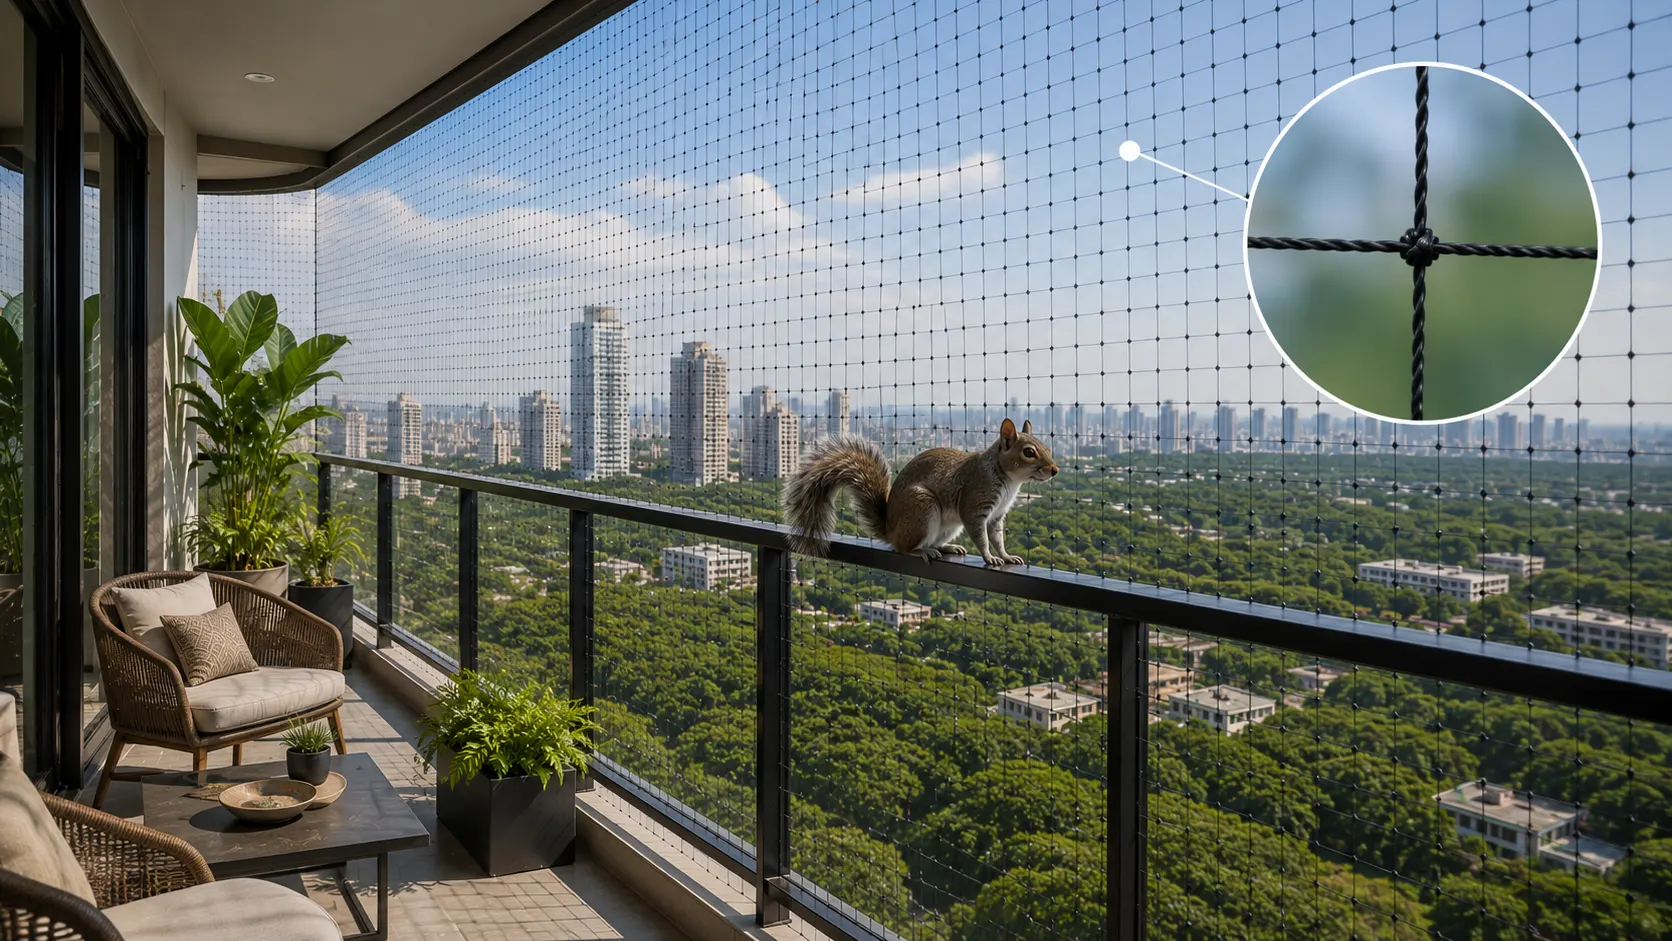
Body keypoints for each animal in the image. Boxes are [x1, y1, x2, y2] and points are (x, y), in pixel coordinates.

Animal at [782, 418, 1059, 566]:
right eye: (1029, 452)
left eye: (1047, 447)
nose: (1055, 469)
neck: (1007, 479)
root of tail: (891, 530)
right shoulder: (975, 502)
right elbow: (980, 535)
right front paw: (989, 557)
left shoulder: (997, 514)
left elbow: (997, 536)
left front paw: (1006, 555)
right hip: (922, 508)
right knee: (904, 548)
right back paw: (920, 551)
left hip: (947, 525)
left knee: (933, 541)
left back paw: (947, 548)